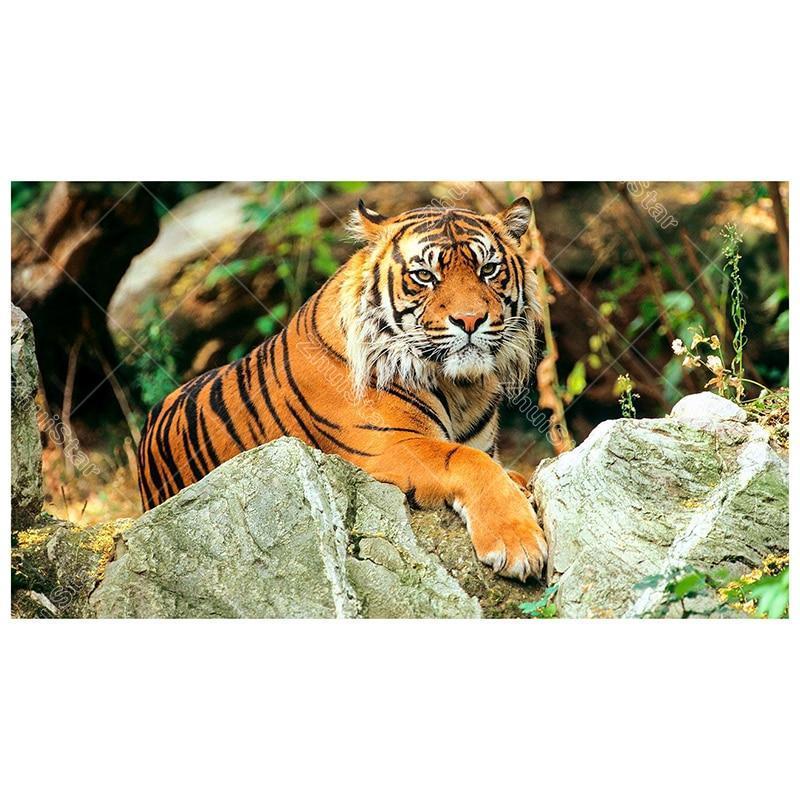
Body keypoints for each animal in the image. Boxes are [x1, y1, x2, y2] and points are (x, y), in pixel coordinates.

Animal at [137, 197, 548, 582]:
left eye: (488, 269)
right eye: (424, 275)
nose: (470, 320)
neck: (461, 388)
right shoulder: (388, 447)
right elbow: (468, 461)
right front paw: (518, 543)